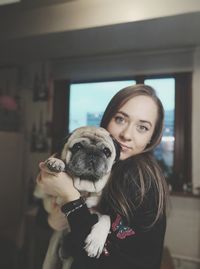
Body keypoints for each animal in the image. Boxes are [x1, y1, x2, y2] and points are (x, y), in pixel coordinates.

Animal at [34, 126, 120, 268]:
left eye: (106, 151)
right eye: (77, 147)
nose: (92, 152)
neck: (84, 187)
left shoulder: (97, 210)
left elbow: (106, 218)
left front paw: (96, 241)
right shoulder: (43, 193)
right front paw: (56, 162)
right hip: (51, 255)